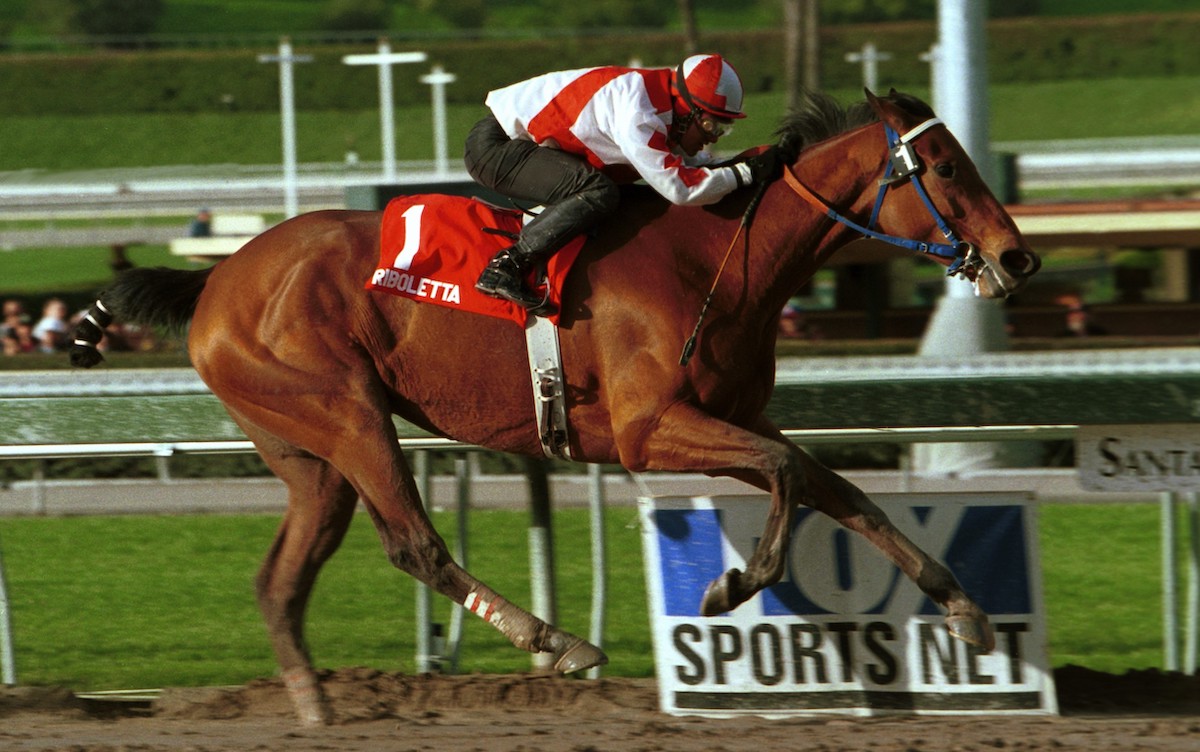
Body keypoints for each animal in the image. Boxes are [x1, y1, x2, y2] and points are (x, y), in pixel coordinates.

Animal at [70, 88, 1041, 724]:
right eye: (944, 165)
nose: (1017, 257)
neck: (719, 255)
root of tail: (216, 279)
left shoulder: (733, 412)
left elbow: (832, 485)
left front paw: (963, 607)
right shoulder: (651, 431)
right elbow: (789, 474)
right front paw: (731, 584)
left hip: (306, 455)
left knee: (281, 578)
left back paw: (314, 704)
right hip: (346, 410)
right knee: (415, 544)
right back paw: (555, 640)